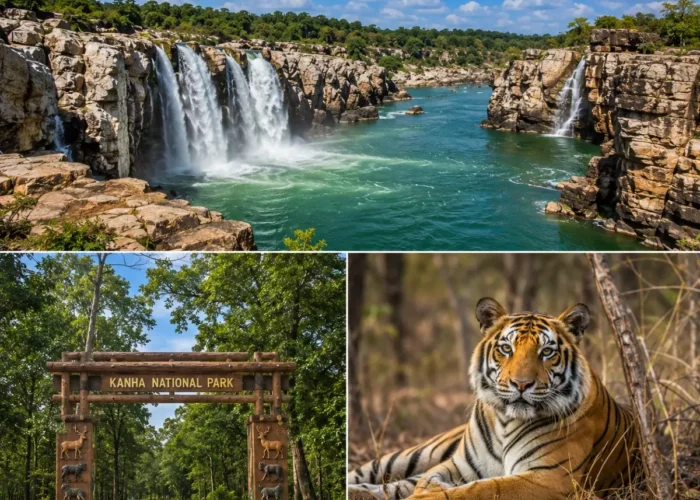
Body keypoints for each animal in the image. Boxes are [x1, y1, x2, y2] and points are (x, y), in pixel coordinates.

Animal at [348, 297, 640, 500]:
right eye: (506, 348)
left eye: (547, 352)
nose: (521, 384)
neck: (506, 422)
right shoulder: (457, 465)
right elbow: (429, 480)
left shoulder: (550, 478)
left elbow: (481, 489)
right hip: (414, 454)